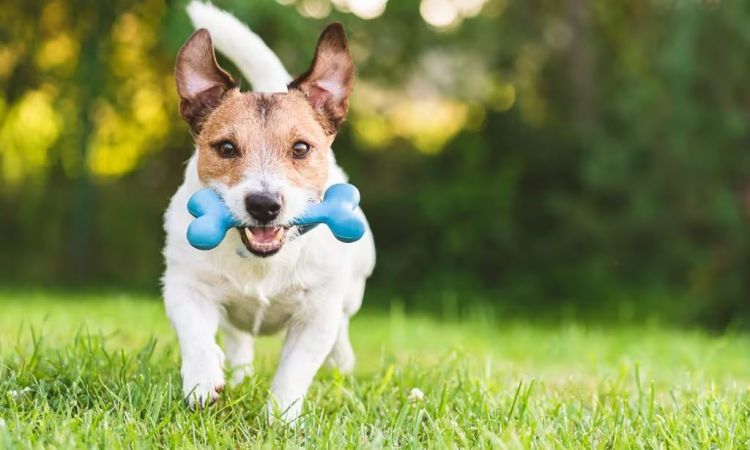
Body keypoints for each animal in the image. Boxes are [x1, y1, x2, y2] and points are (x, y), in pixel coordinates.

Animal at [163, 1, 376, 422]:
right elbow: (195, 332)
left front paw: (282, 417)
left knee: (343, 328)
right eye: (226, 148)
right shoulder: (183, 285)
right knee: (237, 337)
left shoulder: (316, 314)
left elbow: (295, 369)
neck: (263, 261)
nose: (263, 205)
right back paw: (237, 372)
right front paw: (202, 379)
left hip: (353, 289)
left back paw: (342, 364)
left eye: (301, 148)